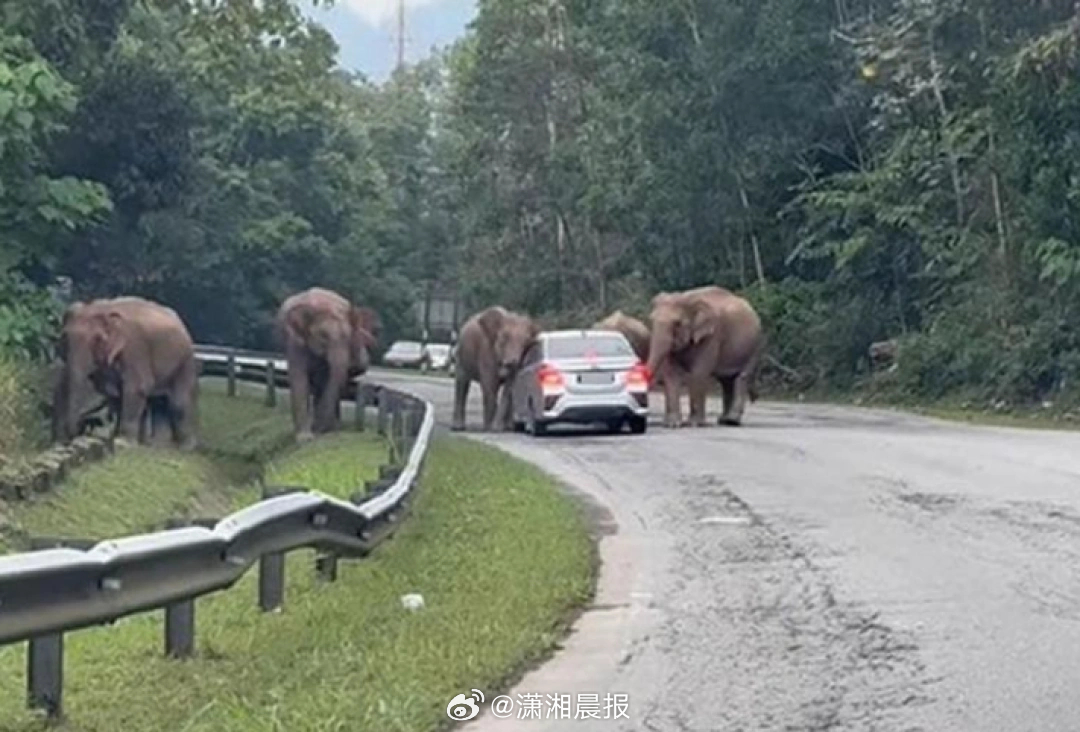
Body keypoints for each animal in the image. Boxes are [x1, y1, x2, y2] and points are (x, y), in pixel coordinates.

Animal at [51, 295, 198, 446]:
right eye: (64, 337)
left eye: (98, 339)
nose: (73, 434)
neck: (102, 309)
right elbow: (115, 394)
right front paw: (117, 438)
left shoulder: (135, 347)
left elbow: (137, 388)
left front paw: (123, 441)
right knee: (157, 404)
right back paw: (154, 445)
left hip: (185, 361)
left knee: (178, 403)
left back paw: (184, 446)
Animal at [276, 287, 382, 442]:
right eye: (323, 337)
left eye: (349, 337)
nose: (320, 430)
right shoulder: (295, 340)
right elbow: (299, 378)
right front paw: (304, 438)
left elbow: (327, 379)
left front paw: (322, 430)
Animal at [451, 304, 540, 434]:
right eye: (504, 339)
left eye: (525, 343)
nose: (511, 362)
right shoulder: (486, 349)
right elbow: (489, 384)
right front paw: (490, 429)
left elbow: (509, 387)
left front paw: (500, 429)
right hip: (461, 356)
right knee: (462, 384)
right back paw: (458, 428)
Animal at [643, 282, 764, 427]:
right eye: (651, 320)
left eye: (677, 323)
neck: (687, 297)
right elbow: (671, 374)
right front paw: (672, 424)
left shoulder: (712, 336)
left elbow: (699, 372)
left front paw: (694, 423)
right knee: (726, 381)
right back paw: (723, 420)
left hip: (754, 346)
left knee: (741, 377)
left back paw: (732, 421)